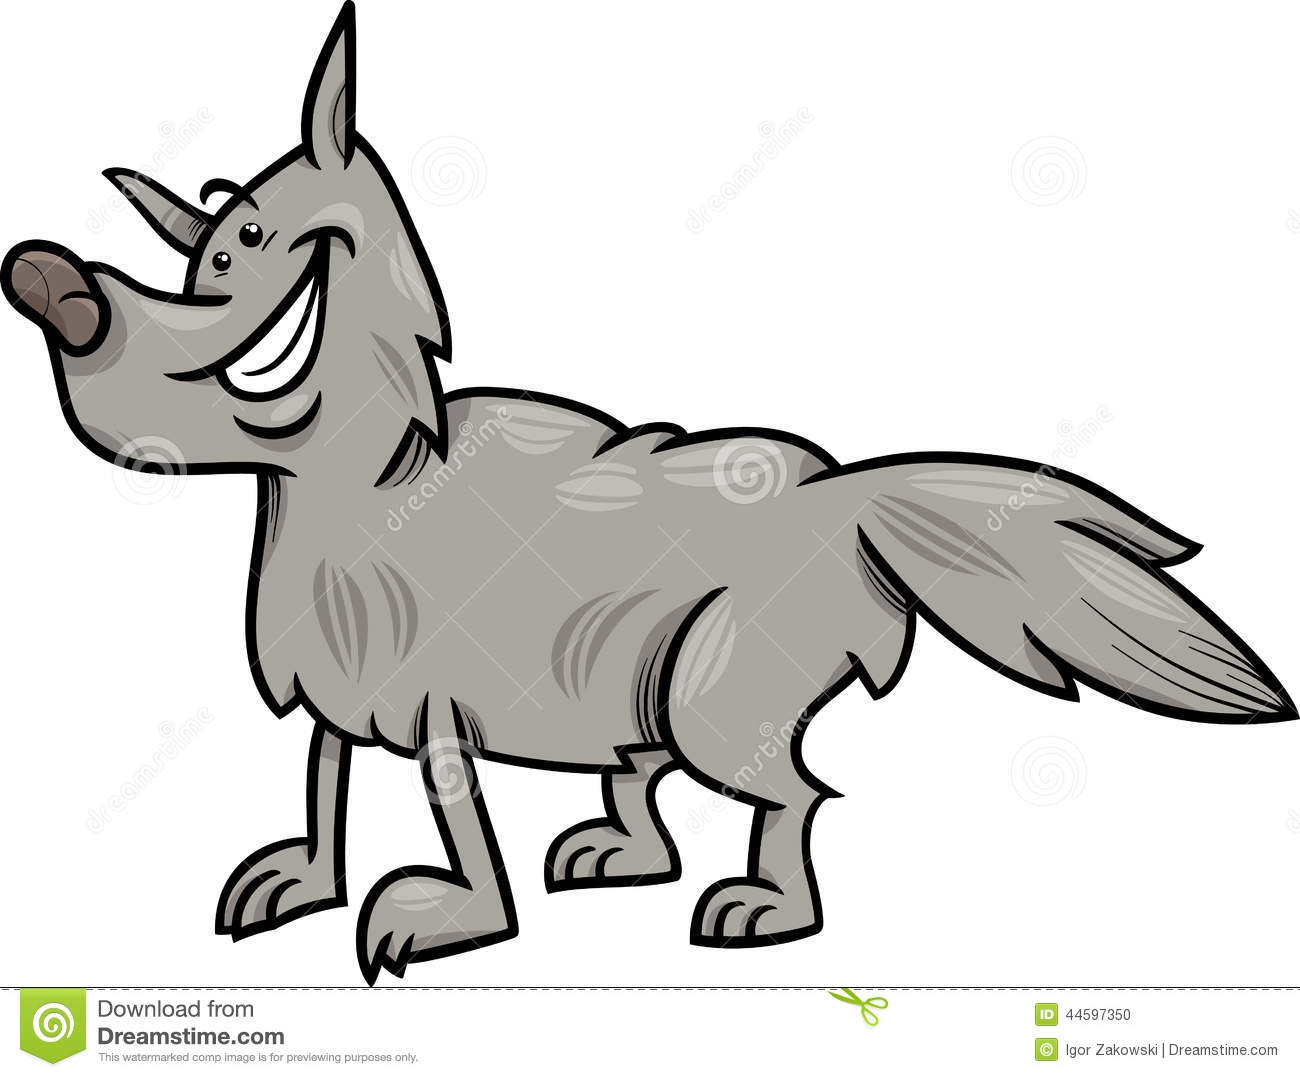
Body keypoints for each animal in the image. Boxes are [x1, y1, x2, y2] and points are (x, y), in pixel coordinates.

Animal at [4, 4, 1293, 983]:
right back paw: (623, 854)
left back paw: (768, 911)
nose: (51, 285)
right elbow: (323, 783)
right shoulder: (340, 694)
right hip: (640, 689)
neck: (355, 476)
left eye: (245, 244)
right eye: (204, 251)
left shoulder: (433, 707)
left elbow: (458, 833)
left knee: (792, 794)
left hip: (714, 690)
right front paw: (305, 877)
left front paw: (447, 918)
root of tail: (842, 504)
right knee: (645, 783)